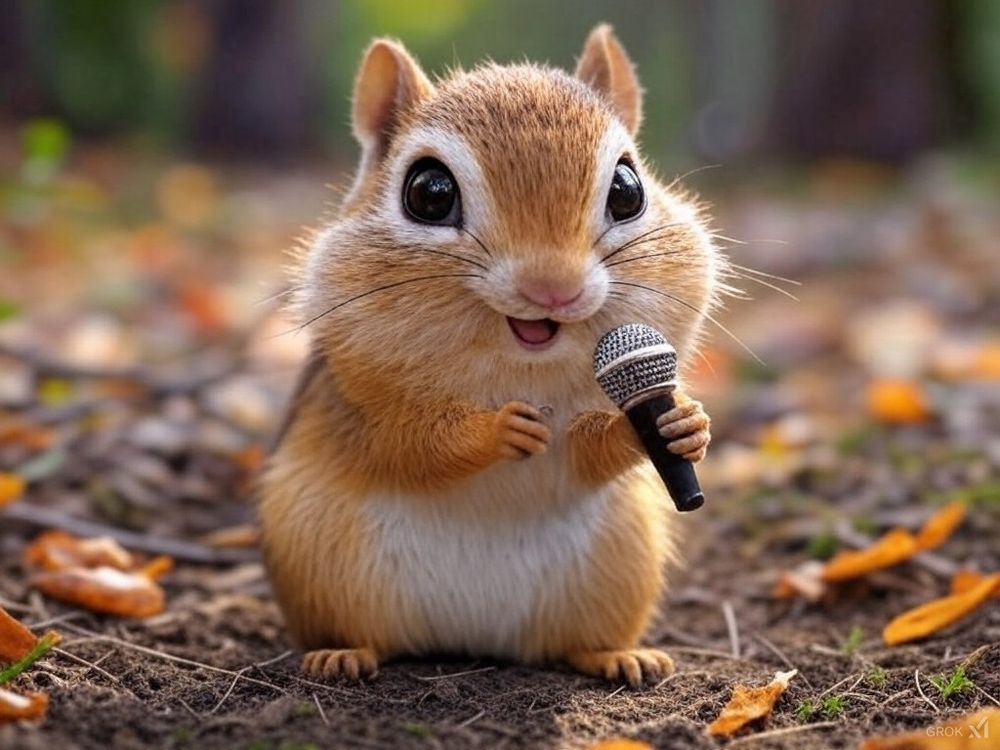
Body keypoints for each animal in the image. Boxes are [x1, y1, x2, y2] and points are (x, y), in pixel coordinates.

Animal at [259, 24, 718, 688]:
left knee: (570, 646)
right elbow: (405, 443)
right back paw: (341, 655)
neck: (521, 364)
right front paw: (501, 428)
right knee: (365, 635)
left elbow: (588, 452)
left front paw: (682, 423)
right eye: (428, 193)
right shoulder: (355, 402)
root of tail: (472, 638)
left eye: (628, 189)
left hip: (618, 563)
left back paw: (618, 656)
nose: (553, 287)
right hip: (318, 561)